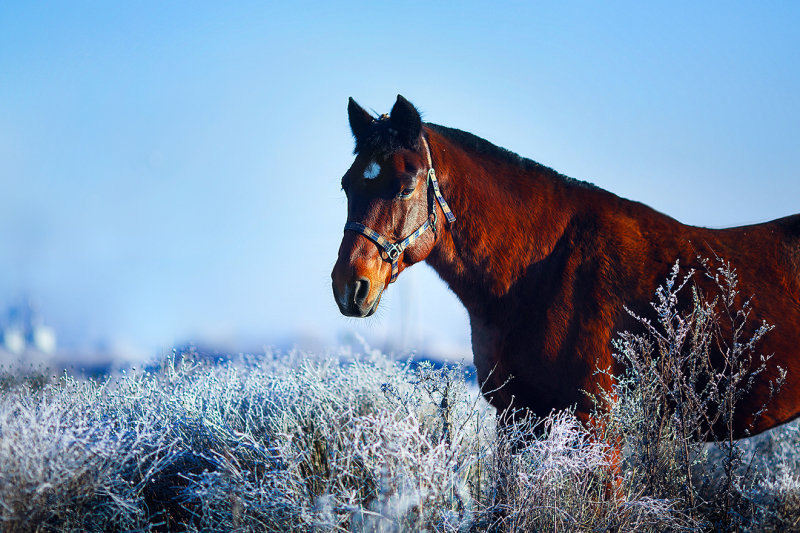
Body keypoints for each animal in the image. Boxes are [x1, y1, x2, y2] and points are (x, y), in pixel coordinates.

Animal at [330, 94, 800, 436]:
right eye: (347, 184)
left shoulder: (595, 421)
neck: (539, 272)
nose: (350, 286)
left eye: (405, 186)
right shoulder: (516, 416)